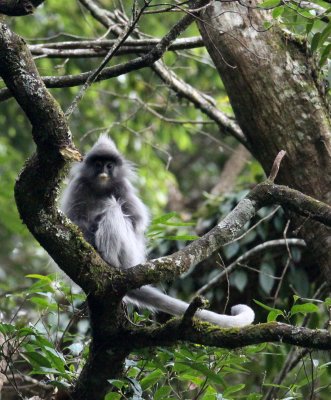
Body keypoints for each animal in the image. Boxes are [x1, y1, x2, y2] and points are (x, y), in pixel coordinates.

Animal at [61, 136, 254, 326]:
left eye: (109, 165)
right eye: (98, 164)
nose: (104, 171)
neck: (101, 188)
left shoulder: (123, 186)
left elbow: (137, 220)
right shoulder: (78, 185)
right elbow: (75, 220)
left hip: (128, 254)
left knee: (114, 209)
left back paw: (109, 259)